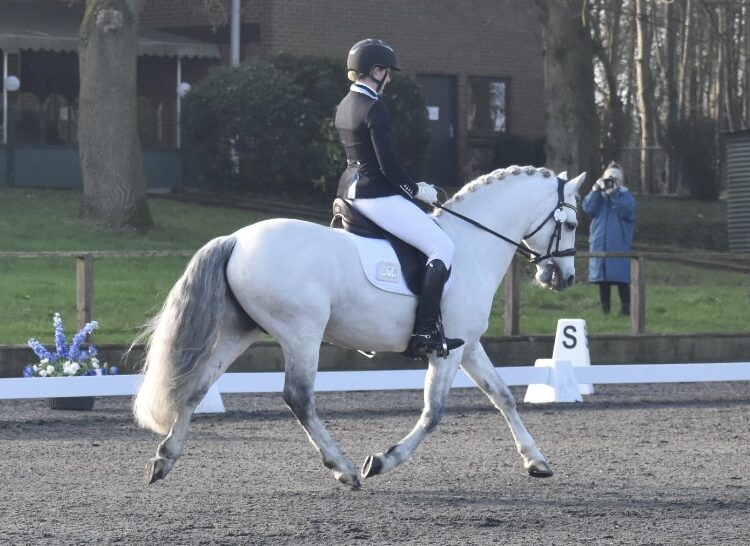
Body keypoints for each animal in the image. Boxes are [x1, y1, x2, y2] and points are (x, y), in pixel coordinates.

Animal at [133, 165, 586, 488]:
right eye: (572, 224)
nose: (563, 278)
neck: (472, 245)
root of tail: (236, 239)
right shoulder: (449, 350)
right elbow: (433, 412)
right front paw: (382, 461)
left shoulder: (468, 346)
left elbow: (504, 396)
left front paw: (536, 461)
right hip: (301, 333)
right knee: (298, 397)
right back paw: (344, 469)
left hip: (237, 331)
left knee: (196, 386)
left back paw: (164, 459)